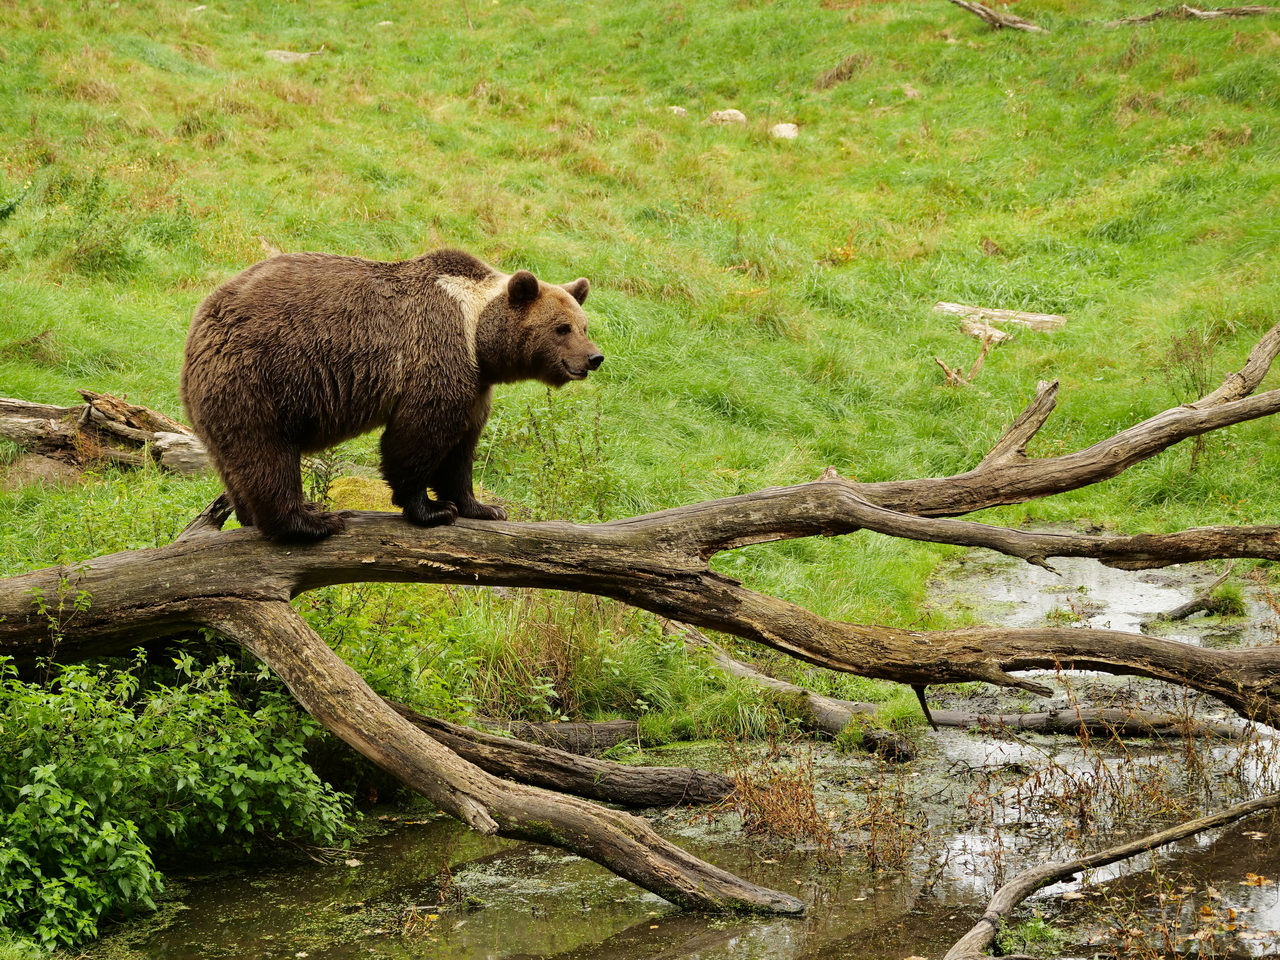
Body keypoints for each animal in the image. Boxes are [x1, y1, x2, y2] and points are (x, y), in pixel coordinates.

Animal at [180, 248, 604, 545]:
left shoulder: (476, 384)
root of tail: (200, 325)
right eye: (561, 328)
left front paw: (483, 507)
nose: (594, 357)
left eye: (583, 325)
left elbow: (461, 449)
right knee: (267, 455)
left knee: (234, 462)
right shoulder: (437, 353)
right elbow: (418, 436)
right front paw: (433, 509)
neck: (476, 335)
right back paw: (312, 521)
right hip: (262, 378)